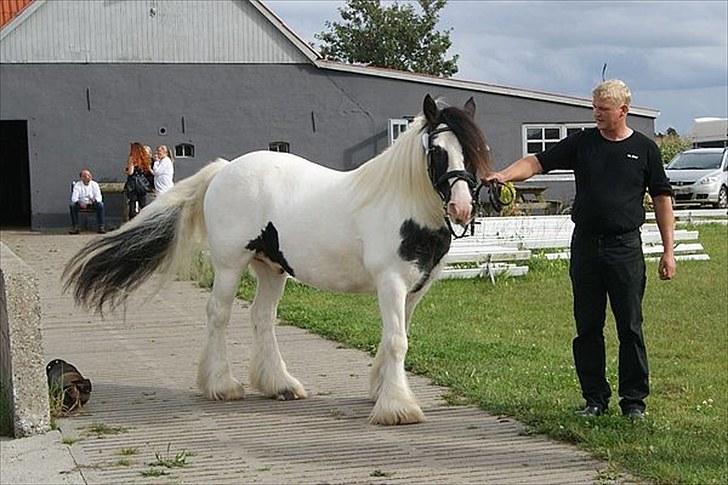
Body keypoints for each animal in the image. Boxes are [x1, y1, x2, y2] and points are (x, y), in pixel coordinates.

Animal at [65, 95, 492, 424]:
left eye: (476, 151)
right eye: (437, 151)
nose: (462, 208)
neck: (401, 201)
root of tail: (224, 169)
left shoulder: (414, 289)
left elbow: (397, 337)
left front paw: (380, 389)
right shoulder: (391, 283)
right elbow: (397, 340)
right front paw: (397, 408)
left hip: (271, 269)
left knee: (262, 317)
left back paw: (280, 385)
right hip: (230, 266)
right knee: (218, 315)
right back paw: (222, 385)